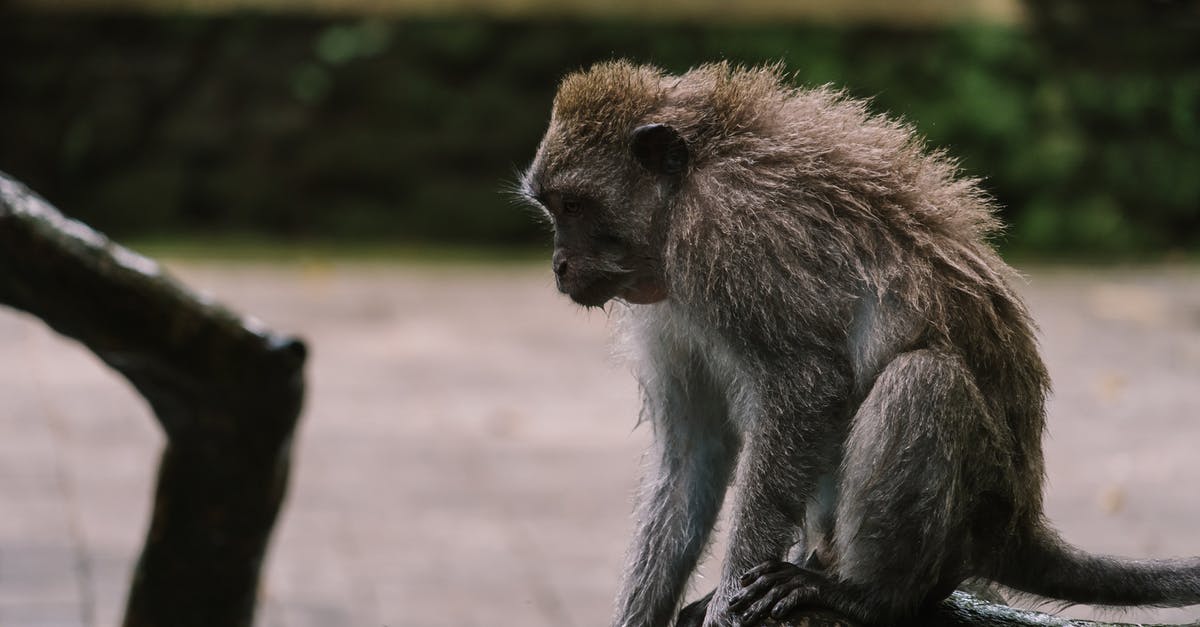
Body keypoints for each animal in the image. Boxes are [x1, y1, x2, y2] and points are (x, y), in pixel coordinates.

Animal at [516, 60, 1200, 627]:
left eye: (575, 205)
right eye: (553, 208)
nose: (559, 265)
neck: (685, 192)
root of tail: (1019, 523)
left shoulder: (732, 240)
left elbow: (807, 384)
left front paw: (731, 603)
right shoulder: (663, 301)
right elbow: (693, 451)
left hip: (970, 521)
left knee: (922, 381)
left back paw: (866, 595)